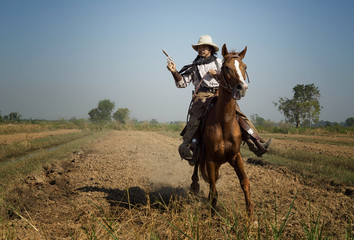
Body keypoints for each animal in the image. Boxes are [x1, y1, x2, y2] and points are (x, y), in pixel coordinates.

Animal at [191, 44, 254, 220]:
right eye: (226, 67)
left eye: (244, 67)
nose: (242, 87)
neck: (224, 122)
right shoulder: (211, 159)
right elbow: (213, 188)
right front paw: (212, 216)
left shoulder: (235, 156)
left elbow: (245, 183)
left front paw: (252, 219)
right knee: (199, 170)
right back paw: (194, 185)